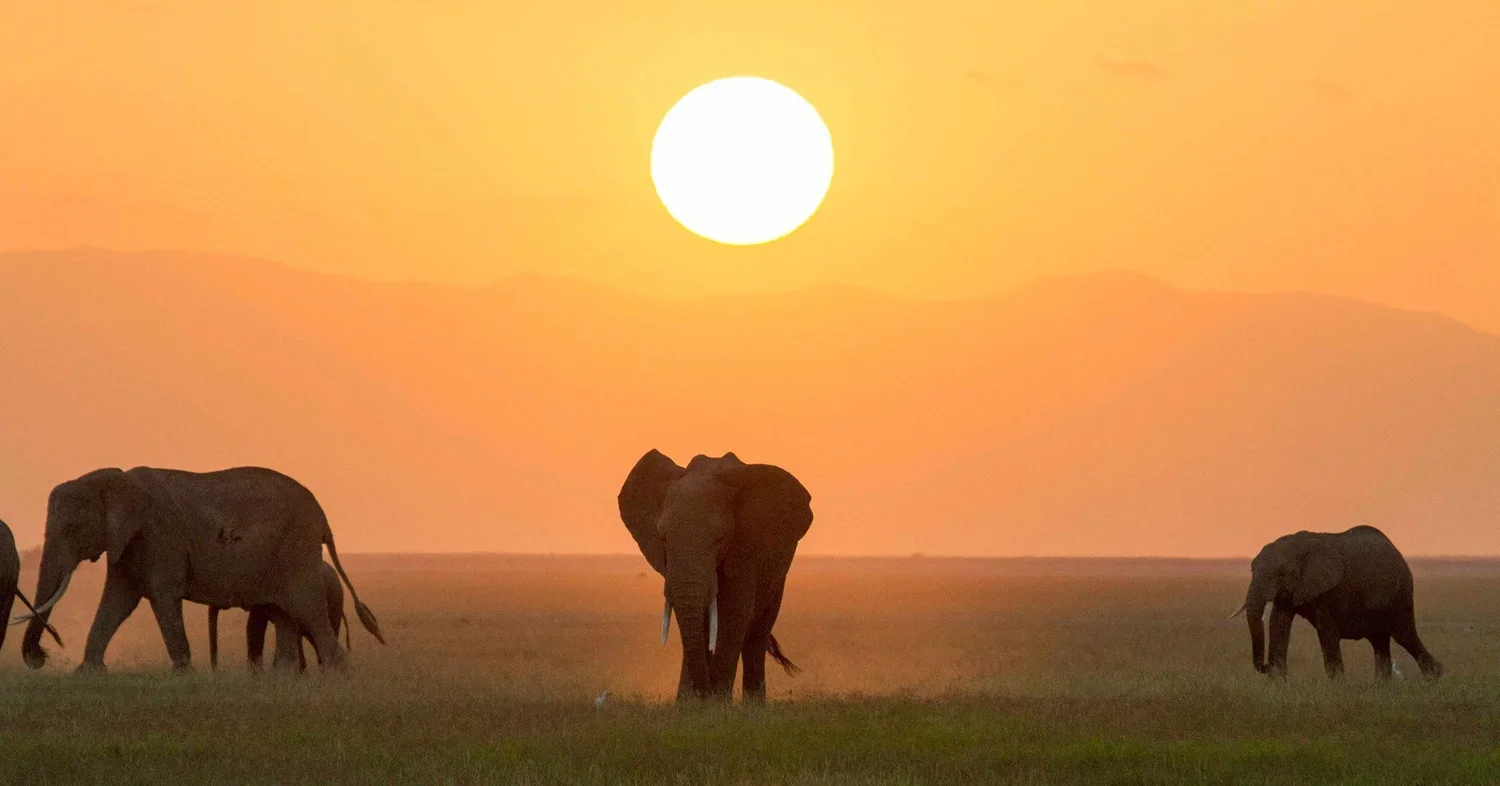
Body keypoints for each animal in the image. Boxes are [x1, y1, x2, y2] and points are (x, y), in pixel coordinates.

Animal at [618, 450, 813, 702]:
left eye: (720, 538)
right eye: (662, 539)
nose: (704, 691)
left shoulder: (745, 547)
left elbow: (733, 614)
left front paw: (716, 704)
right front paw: (690, 704)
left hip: (778, 574)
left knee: (757, 637)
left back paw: (754, 705)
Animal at [1238, 525, 1442, 679]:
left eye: (1280, 574)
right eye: (1252, 570)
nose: (1266, 665)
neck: (1297, 545)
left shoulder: (1327, 590)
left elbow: (1326, 630)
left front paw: (1337, 686)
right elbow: (1279, 623)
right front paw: (1278, 684)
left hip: (1401, 592)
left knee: (1403, 635)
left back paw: (1434, 678)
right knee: (1379, 641)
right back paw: (1381, 686)